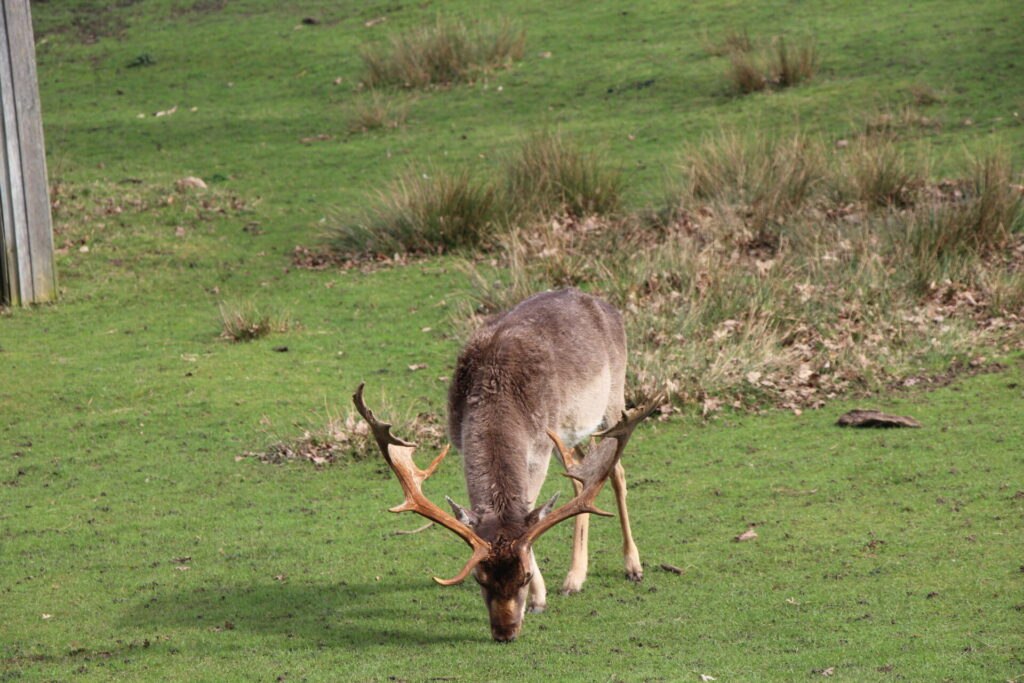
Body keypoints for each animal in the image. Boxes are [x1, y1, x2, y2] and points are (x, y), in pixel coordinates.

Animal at [353, 288, 659, 642]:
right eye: (479, 578)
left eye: (524, 576)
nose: (505, 632)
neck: (497, 389)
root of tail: (607, 305)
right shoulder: (462, 442)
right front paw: (544, 597)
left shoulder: (540, 447)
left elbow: (530, 514)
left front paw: (539, 600)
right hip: (567, 434)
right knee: (579, 475)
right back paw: (574, 579)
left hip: (613, 399)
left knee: (616, 470)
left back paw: (633, 567)